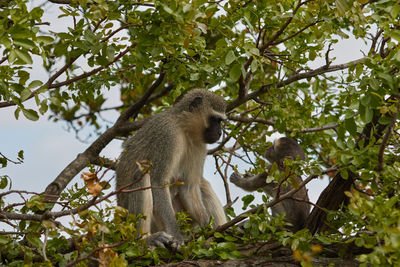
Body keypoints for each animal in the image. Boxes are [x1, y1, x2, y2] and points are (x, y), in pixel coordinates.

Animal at [117, 89, 227, 248]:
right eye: (215, 120)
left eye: (220, 121)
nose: (219, 132)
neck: (183, 127)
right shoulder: (168, 135)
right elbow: (157, 181)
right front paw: (176, 236)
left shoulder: (200, 146)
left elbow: (189, 187)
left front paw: (208, 229)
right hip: (134, 221)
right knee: (142, 174)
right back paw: (143, 240)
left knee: (202, 184)